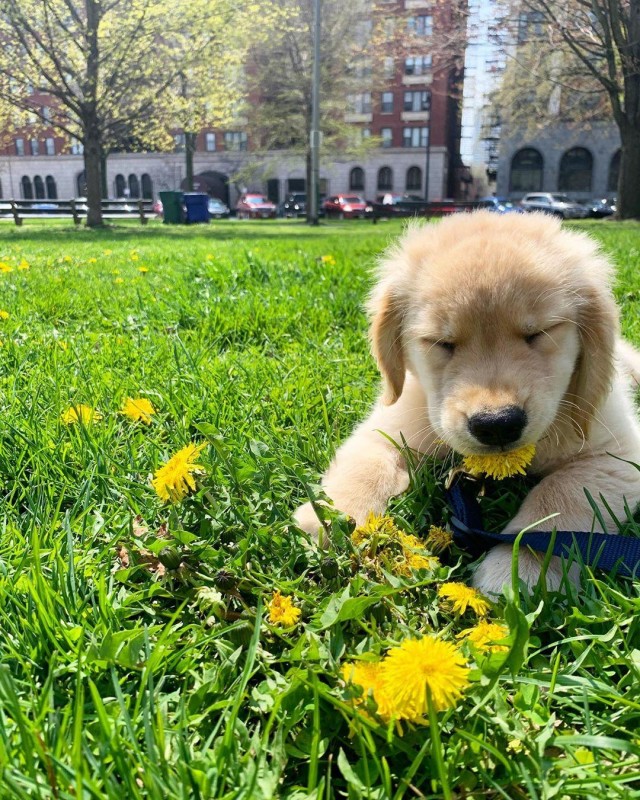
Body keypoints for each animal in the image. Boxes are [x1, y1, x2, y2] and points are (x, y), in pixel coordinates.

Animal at [296, 211, 640, 592]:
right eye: (441, 342)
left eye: (538, 333)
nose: (497, 425)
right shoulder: (393, 422)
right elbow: (367, 465)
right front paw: (331, 517)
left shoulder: (614, 456)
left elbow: (558, 500)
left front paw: (520, 570)